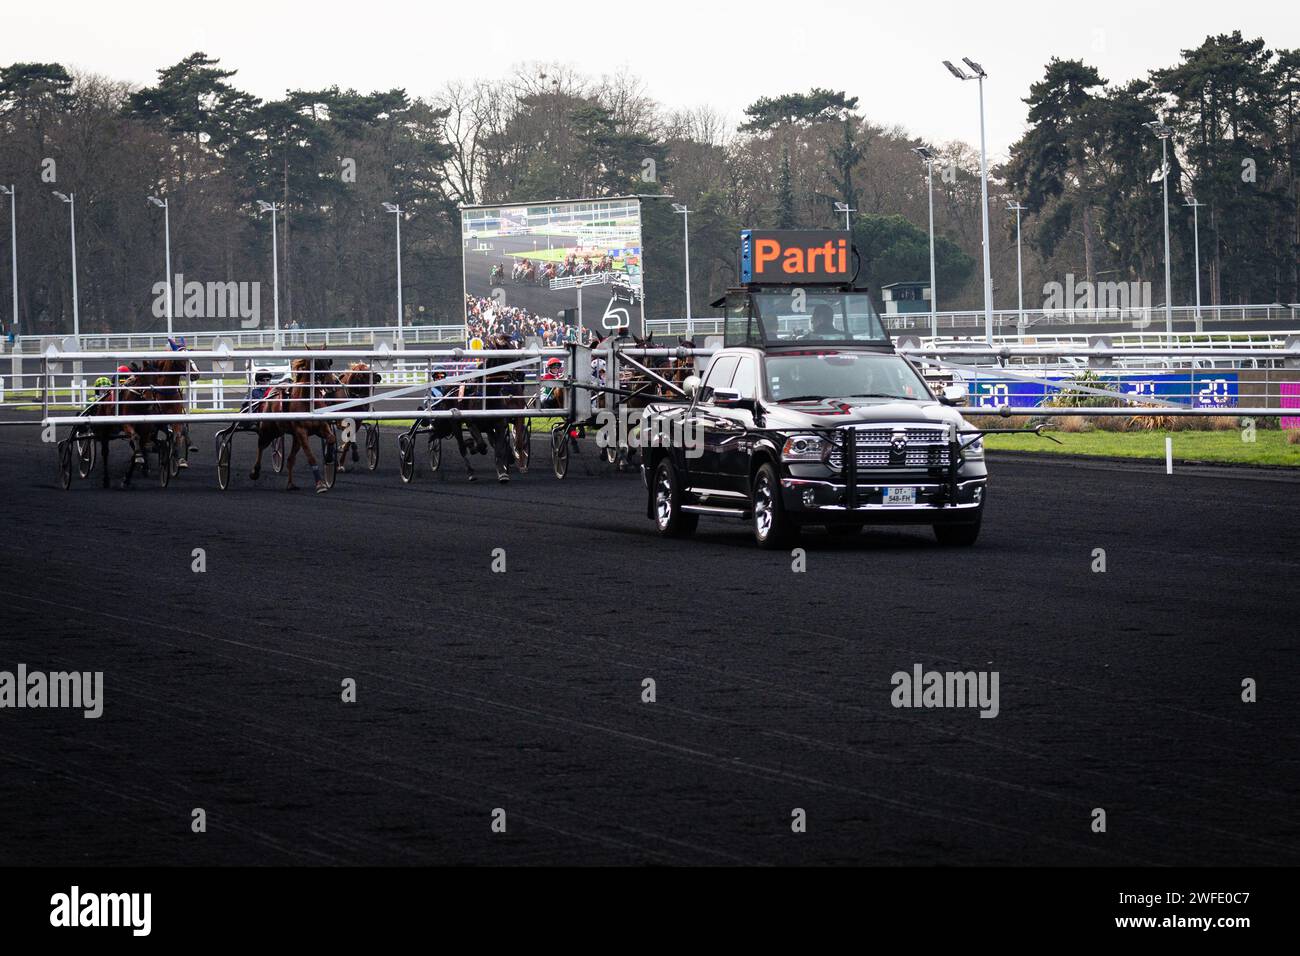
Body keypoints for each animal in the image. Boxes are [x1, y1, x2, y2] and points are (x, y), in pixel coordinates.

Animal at [248, 356, 338, 496]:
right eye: (317, 362)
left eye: (329, 362)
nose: (331, 383)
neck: (307, 401)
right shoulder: (301, 432)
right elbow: (311, 457)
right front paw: (320, 484)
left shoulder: (321, 427)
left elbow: (331, 438)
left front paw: (329, 457)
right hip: (270, 430)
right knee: (261, 445)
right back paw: (255, 472)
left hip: (293, 437)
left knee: (290, 459)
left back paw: (290, 484)